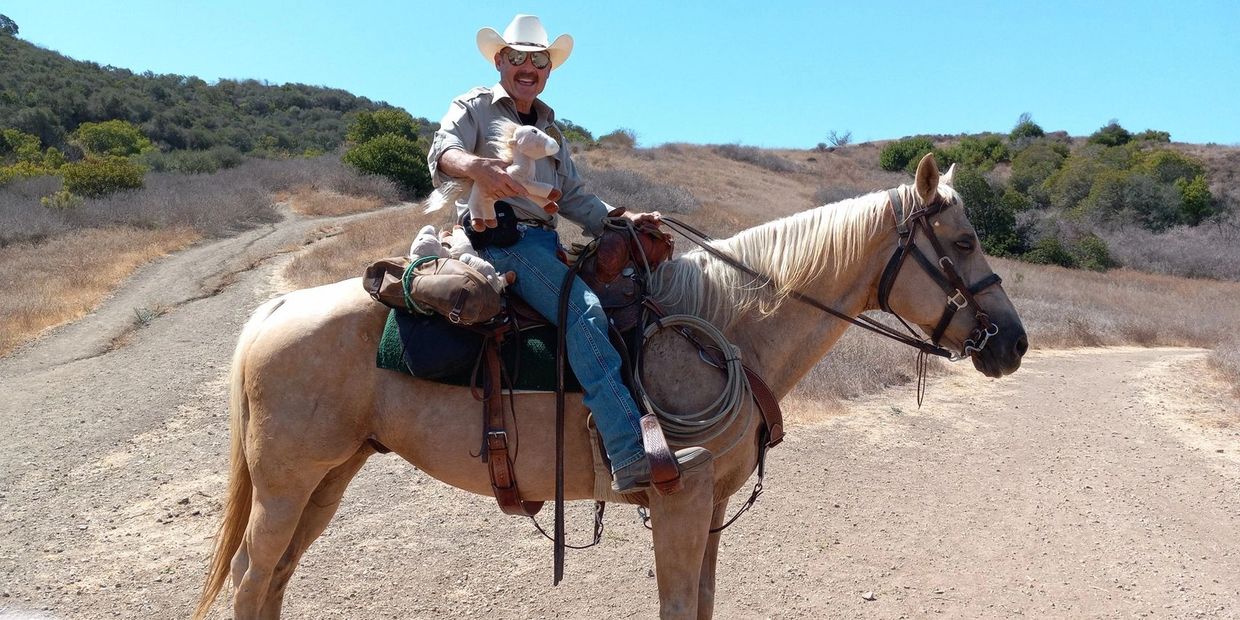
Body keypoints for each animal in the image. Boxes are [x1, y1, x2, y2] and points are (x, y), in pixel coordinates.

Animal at [193, 156, 1026, 620]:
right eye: (962, 242)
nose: (1013, 344)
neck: (723, 324)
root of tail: (276, 309)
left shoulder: (710, 506)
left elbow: (702, 606)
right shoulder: (680, 501)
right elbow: (677, 604)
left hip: (328, 478)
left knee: (274, 581)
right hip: (286, 483)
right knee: (252, 581)